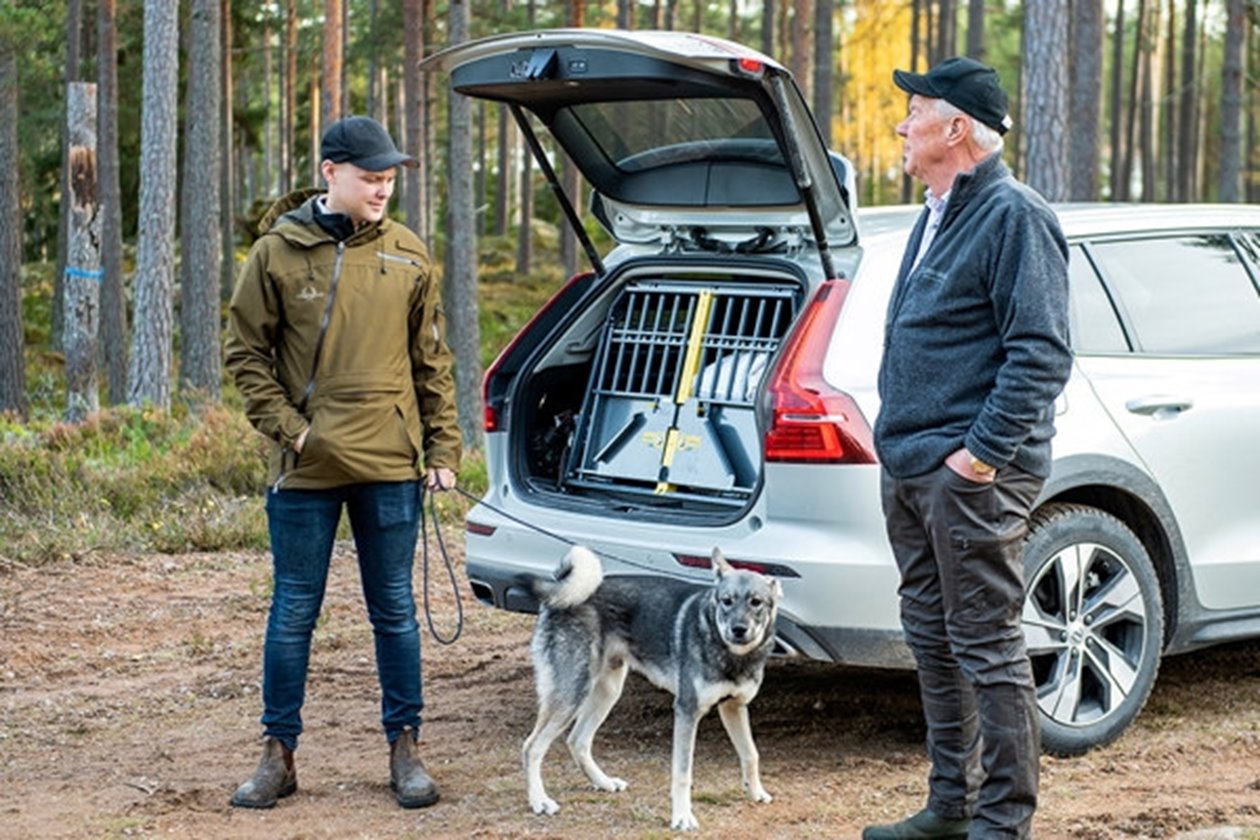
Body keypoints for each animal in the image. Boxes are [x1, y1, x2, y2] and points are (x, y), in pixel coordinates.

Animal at [519, 541, 776, 831]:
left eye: (756, 602)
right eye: (726, 601)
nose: (738, 629)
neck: (730, 653)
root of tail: (558, 596)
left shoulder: (735, 707)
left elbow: (751, 754)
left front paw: (756, 793)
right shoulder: (687, 712)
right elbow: (682, 773)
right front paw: (682, 817)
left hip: (607, 692)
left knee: (578, 741)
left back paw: (603, 783)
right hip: (571, 694)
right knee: (532, 747)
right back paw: (540, 801)